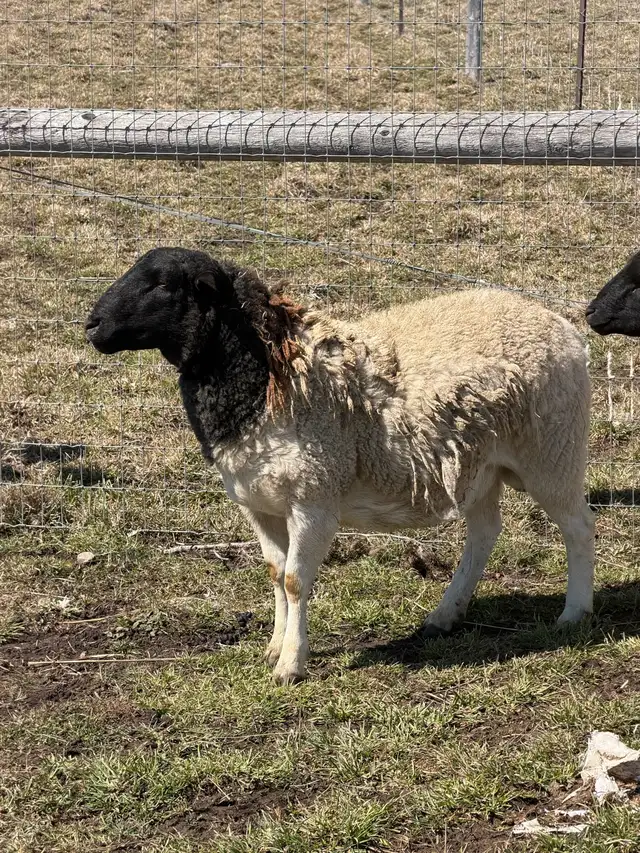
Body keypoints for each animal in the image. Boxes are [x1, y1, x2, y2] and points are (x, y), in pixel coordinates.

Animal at [86, 247, 595, 685]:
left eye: (162, 283)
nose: (92, 324)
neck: (267, 375)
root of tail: (564, 329)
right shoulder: (259, 505)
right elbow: (275, 574)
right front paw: (275, 647)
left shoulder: (313, 499)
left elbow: (295, 581)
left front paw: (291, 666)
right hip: (479, 468)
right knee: (486, 532)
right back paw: (445, 615)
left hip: (553, 452)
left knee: (579, 527)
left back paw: (575, 613)